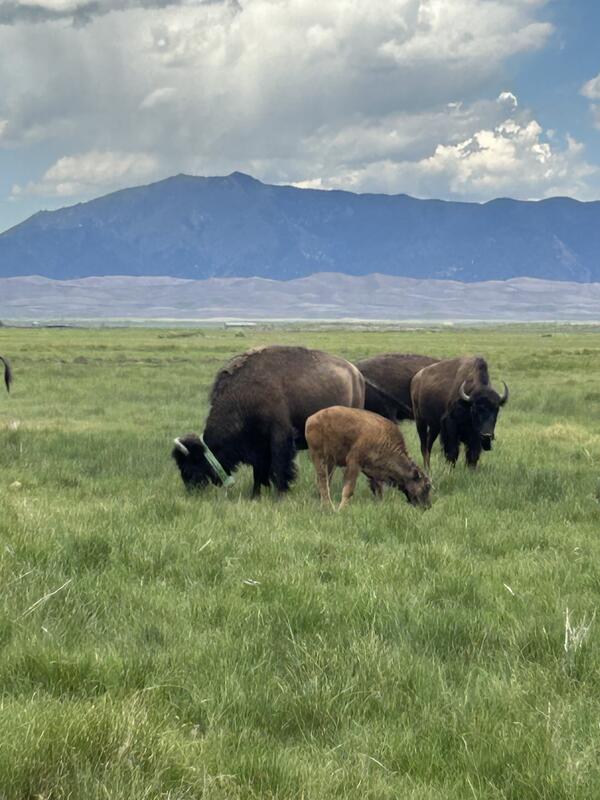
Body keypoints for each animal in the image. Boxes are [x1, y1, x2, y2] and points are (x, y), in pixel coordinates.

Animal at [172, 345, 365, 497]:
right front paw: (255, 495)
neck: (244, 394)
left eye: (188, 467)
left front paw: (279, 495)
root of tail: (356, 374)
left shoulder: (279, 437)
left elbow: (279, 467)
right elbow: (258, 472)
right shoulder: (258, 446)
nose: (192, 491)